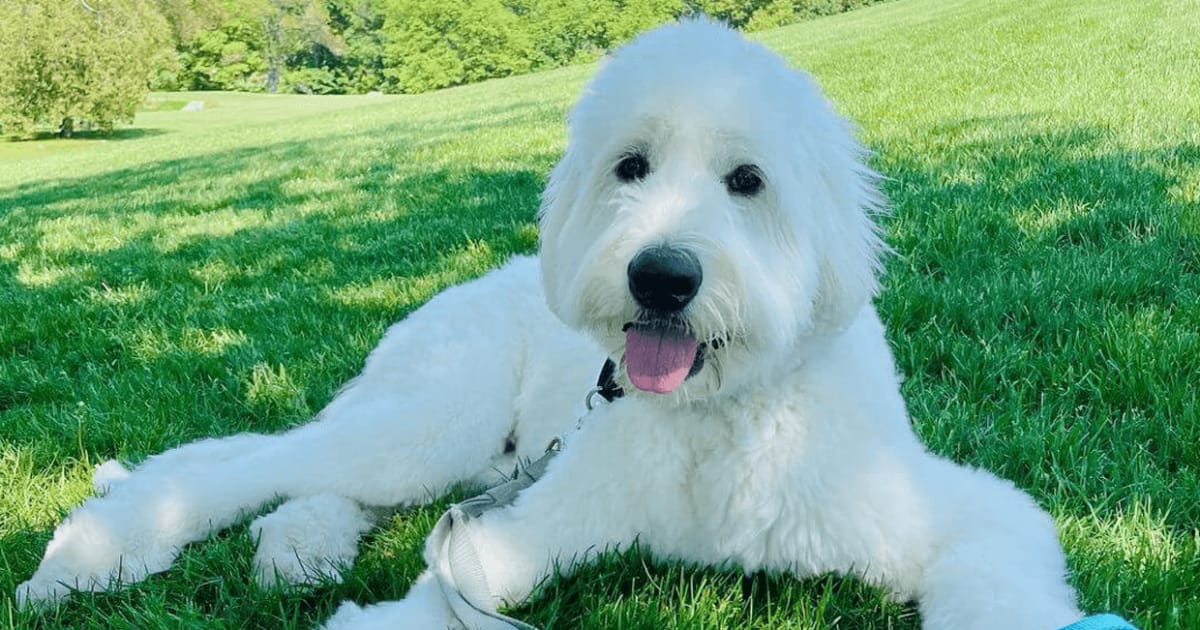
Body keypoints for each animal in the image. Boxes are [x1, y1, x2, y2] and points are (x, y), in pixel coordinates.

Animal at [21, 17, 1089, 624]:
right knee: (246, 465)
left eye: (748, 181)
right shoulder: (553, 515)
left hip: (461, 457)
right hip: (429, 425)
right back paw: (93, 556)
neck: (716, 423)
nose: (661, 278)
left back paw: (298, 547)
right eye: (632, 166)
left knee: (314, 482)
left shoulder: (962, 512)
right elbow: (470, 581)